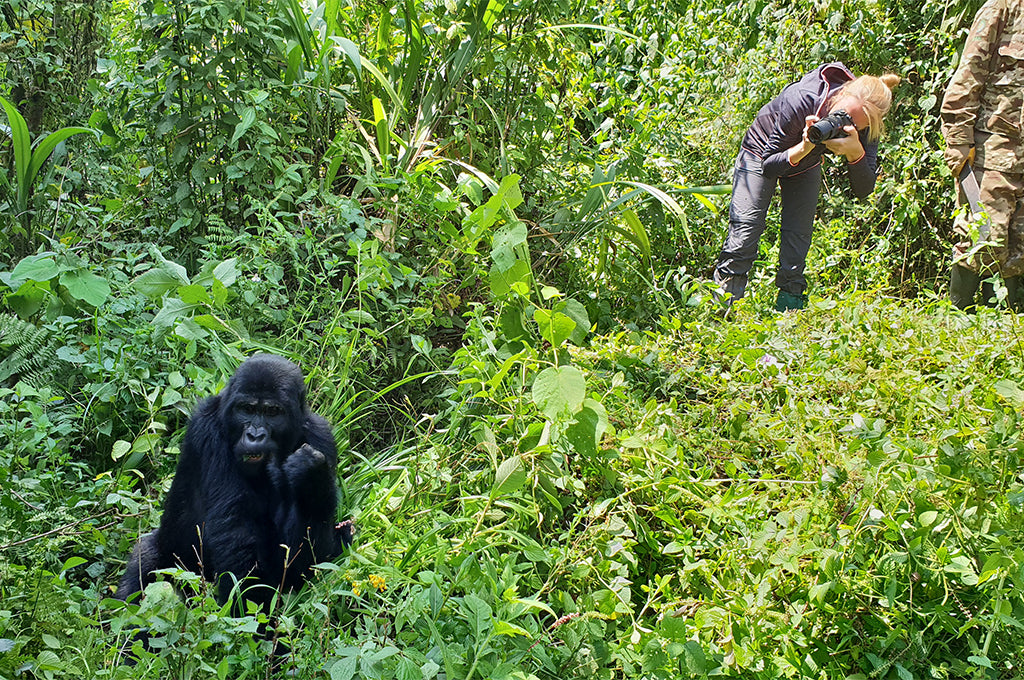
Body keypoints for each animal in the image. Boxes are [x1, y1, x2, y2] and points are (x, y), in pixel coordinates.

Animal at [116, 352, 348, 606]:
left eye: (272, 412)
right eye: (246, 409)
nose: (255, 435)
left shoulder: (321, 437)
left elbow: (309, 560)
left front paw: (310, 475)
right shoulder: (207, 430)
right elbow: (235, 530)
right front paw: (245, 606)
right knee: (147, 559)